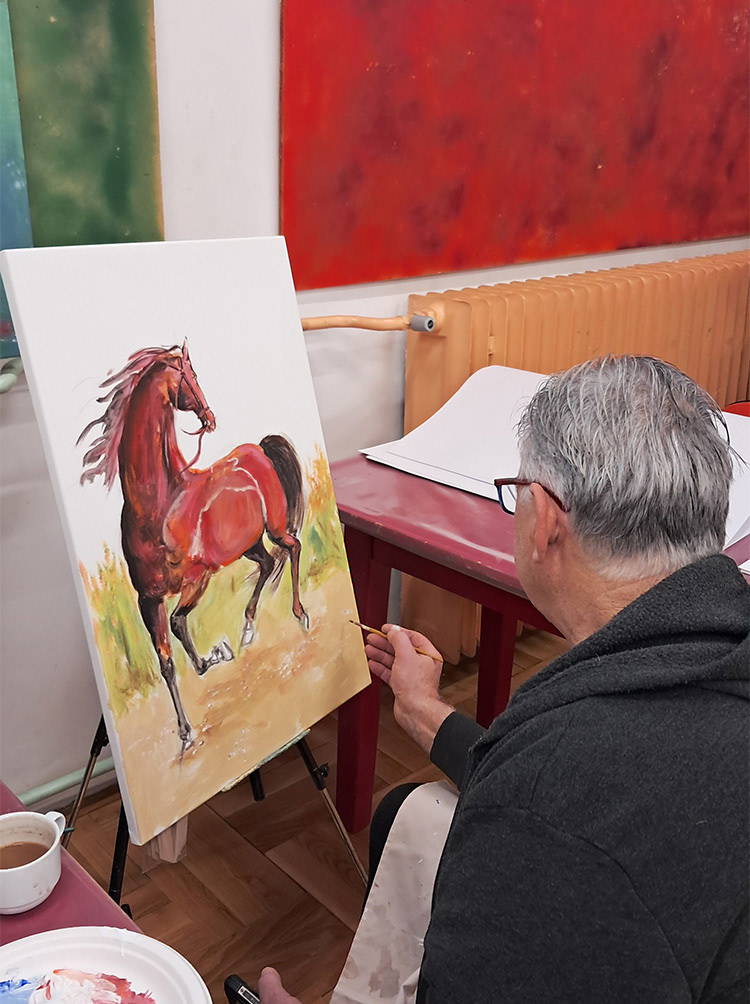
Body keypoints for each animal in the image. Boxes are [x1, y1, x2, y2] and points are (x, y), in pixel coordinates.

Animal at [78, 342, 309, 751]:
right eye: (194, 375)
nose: (210, 417)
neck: (160, 505)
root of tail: (259, 449)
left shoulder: (199, 578)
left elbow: (178, 622)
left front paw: (216, 654)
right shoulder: (147, 599)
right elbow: (166, 660)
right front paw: (185, 731)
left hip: (276, 528)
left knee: (293, 547)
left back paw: (299, 614)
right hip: (248, 544)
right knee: (267, 564)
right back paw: (247, 629)